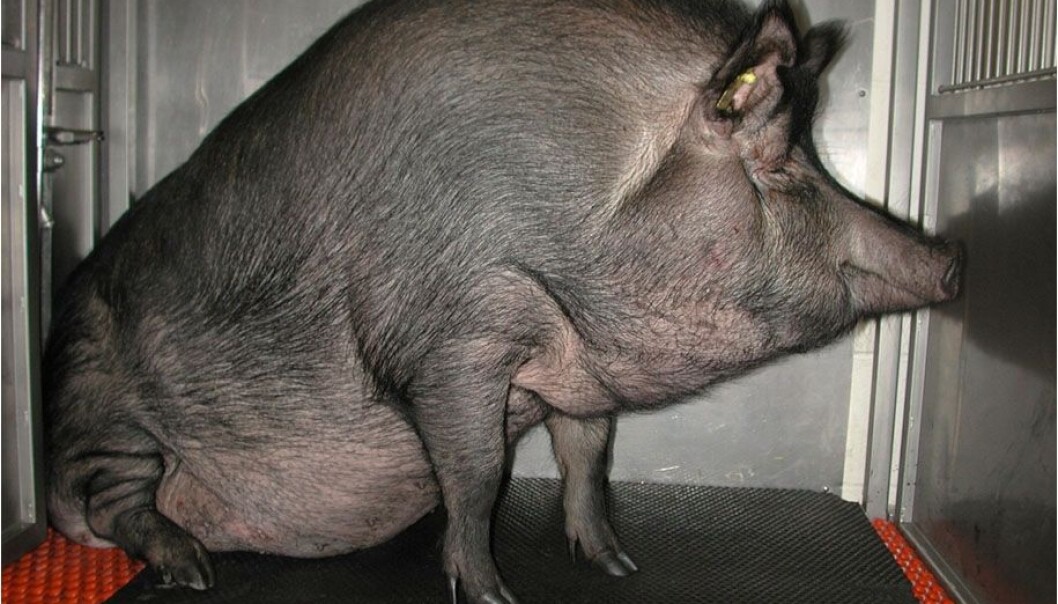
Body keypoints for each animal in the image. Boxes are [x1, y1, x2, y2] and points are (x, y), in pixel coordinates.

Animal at [43, 0, 963, 602]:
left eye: (813, 151)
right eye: (782, 164)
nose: (954, 257)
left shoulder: (581, 371)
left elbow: (589, 460)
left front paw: (618, 566)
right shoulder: (453, 340)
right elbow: (478, 473)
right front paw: (493, 596)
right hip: (104, 417)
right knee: (117, 509)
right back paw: (192, 571)